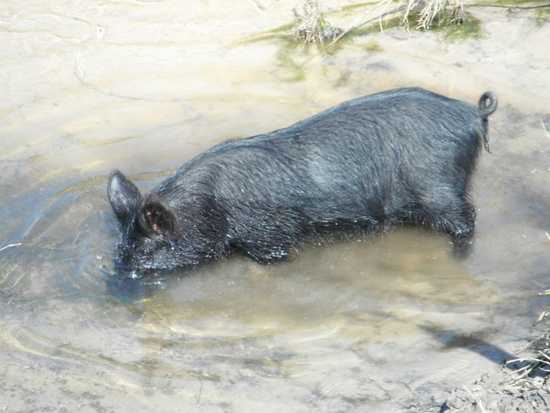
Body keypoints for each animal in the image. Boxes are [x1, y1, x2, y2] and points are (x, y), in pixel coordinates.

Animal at [109, 87, 500, 276]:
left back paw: (458, 255)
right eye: (122, 245)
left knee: (467, 218)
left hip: (439, 185)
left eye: (147, 248)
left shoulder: (269, 234)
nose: (120, 273)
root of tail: (471, 112)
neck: (210, 207)